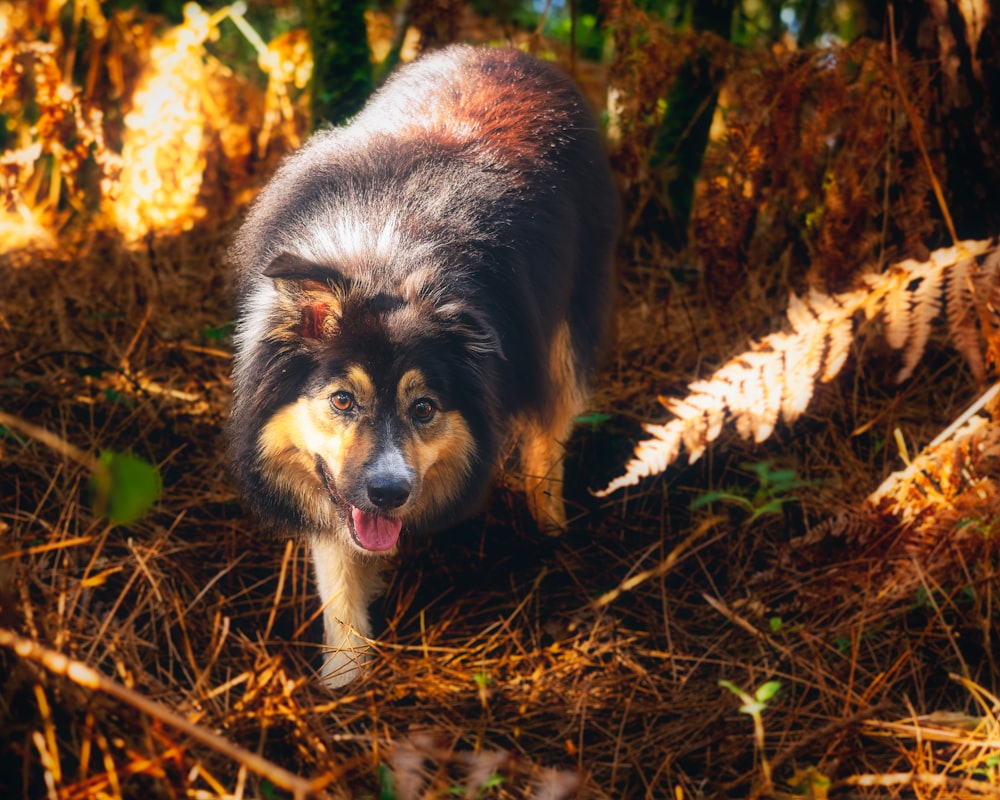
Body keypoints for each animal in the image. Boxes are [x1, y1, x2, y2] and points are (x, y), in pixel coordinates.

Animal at [229, 43, 616, 684]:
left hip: (568, 328)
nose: (389, 493)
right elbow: (338, 576)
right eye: (342, 400)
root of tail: (506, 52)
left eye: (425, 408)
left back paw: (552, 529)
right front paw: (344, 678)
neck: (385, 263)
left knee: (550, 433)